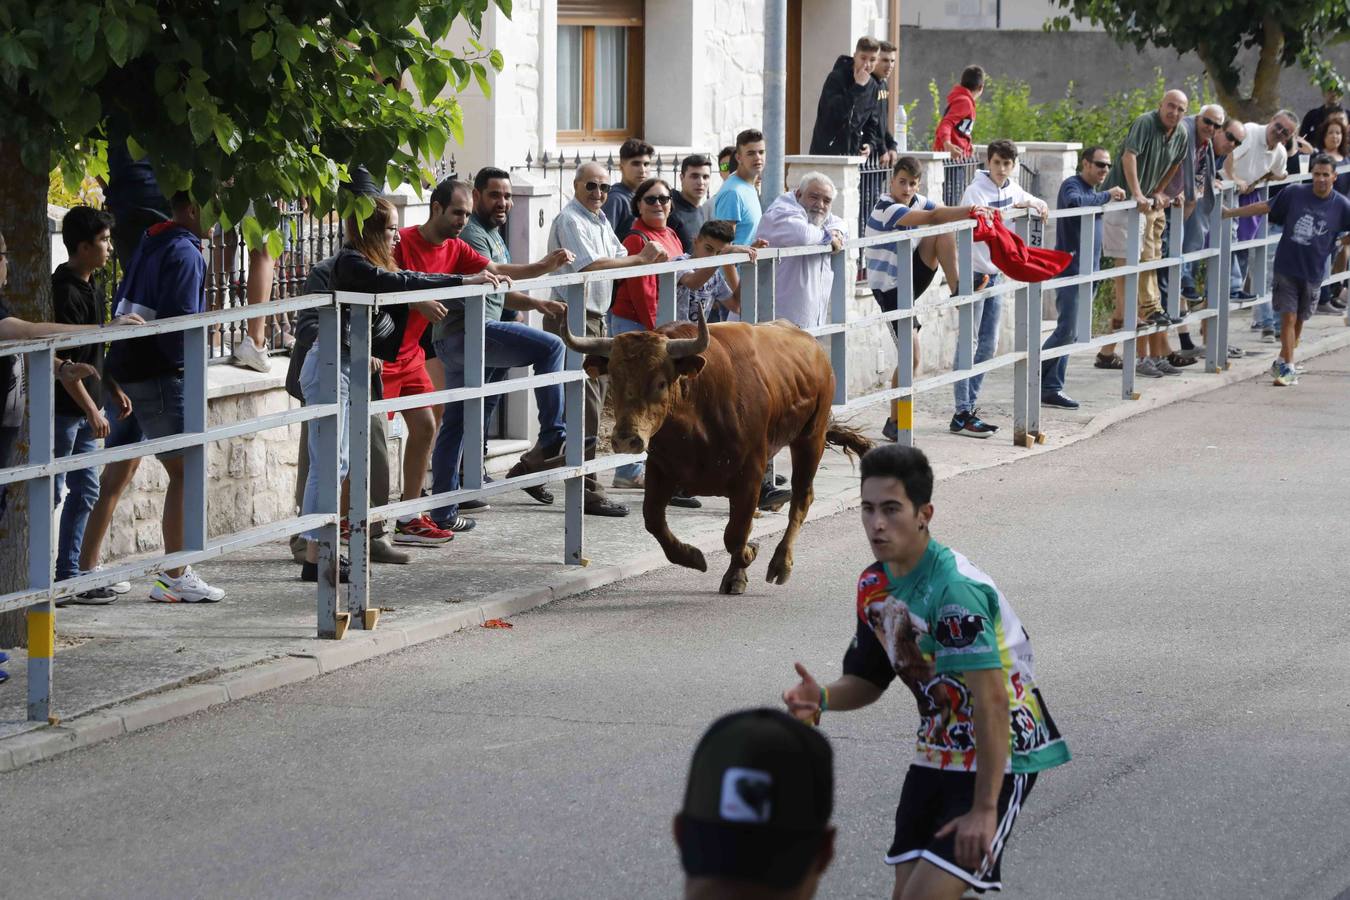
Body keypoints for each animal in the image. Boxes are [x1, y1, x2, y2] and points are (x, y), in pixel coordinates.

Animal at [561, 306, 869, 593]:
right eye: (614, 378)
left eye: (660, 382)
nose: (627, 438)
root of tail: (812, 346)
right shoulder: (660, 468)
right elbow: (654, 521)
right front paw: (692, 556)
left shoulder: (750, 474)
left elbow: (736, 533)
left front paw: (743, 563)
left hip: (810, 438)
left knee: (802, 498)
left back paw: (781, 564)